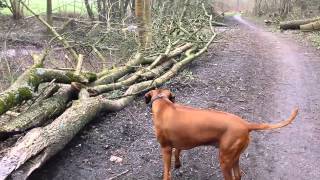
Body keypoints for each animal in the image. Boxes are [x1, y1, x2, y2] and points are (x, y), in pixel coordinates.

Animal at [144, 89, 298, 180]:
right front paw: (177, 164)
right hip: (234, 156)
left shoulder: (165, 148)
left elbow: (166, 171)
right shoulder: (180, 142)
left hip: (225, 159)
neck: (164, 104)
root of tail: (246, 124)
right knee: (238, 175)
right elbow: (177, 151)